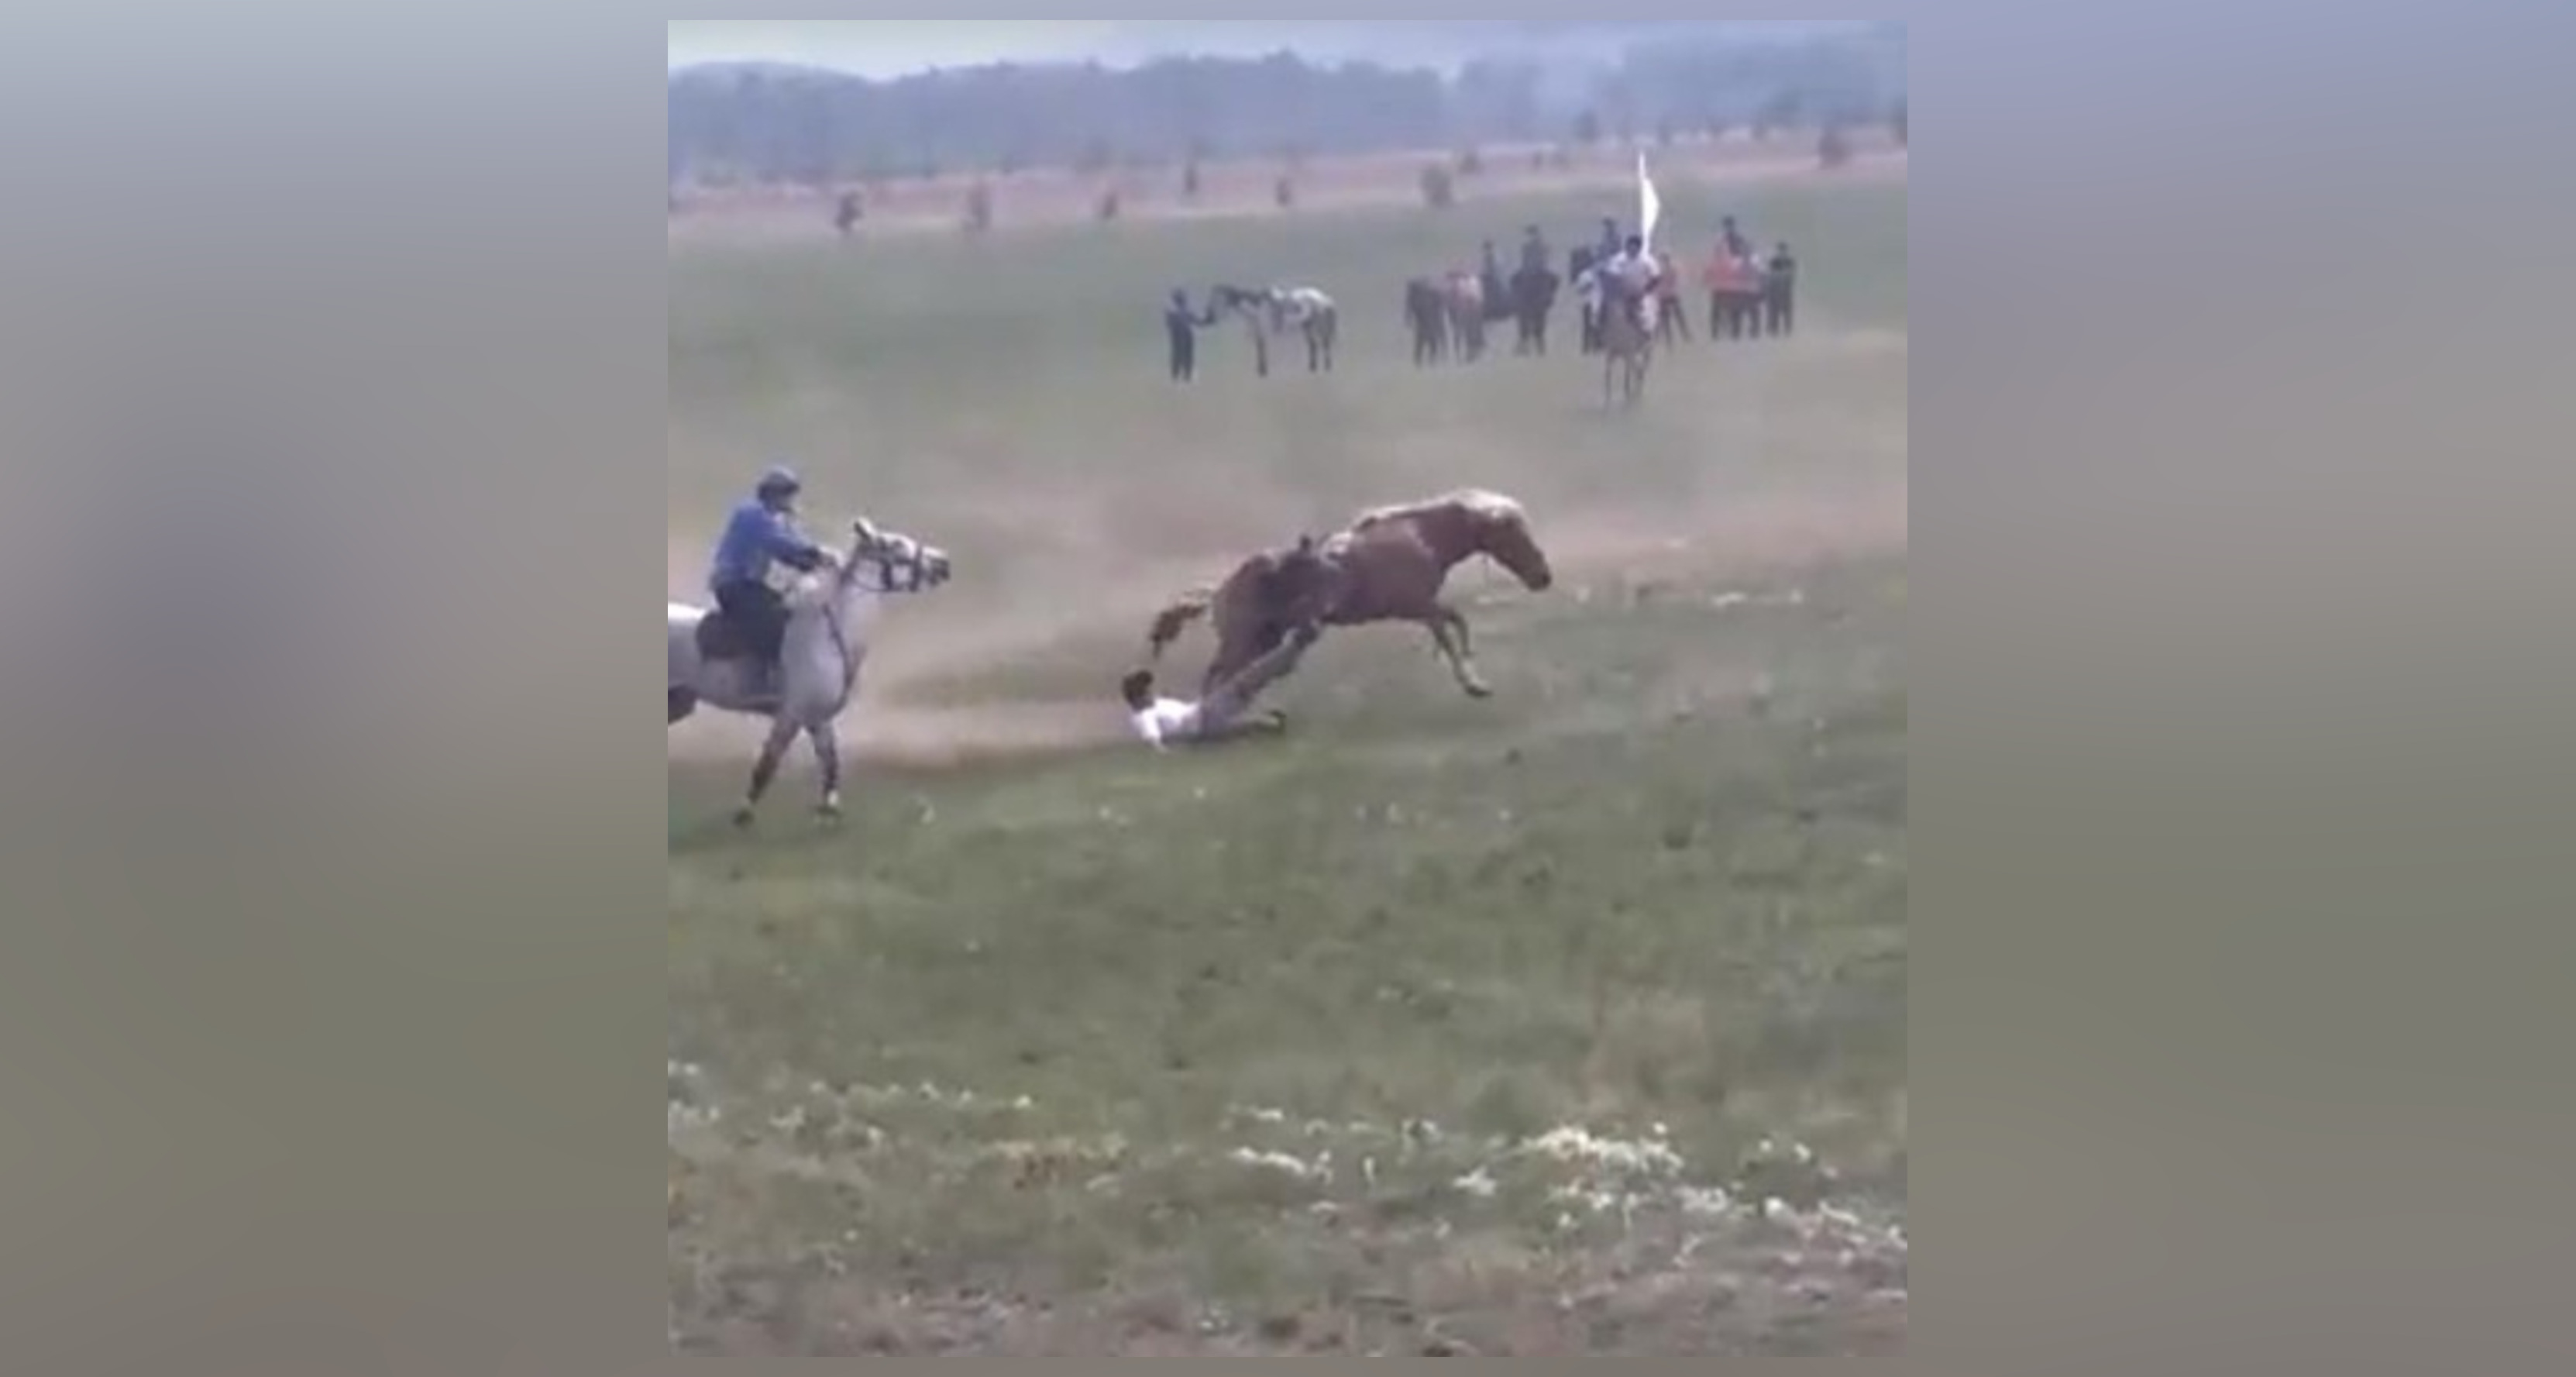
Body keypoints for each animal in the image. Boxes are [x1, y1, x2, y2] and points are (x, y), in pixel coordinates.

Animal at [1154, 487, 1556, 701]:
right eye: (1514, 533)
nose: (1544, 577)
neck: (1420, 536)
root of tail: (1218, 592)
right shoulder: (1419, 606)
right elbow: (1452, 627)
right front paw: (1473, 683)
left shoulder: (1422, 608)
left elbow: (1457, 624)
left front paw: (1473, 678)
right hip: (1242, 641)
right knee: (1216, 680)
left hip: (1263, 640)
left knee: (1224, 679)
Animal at [1200, 286, 1340, 381]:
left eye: (1216, 301)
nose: (1208, 319)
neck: (1255, 307)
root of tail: (1326, 300)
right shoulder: (1259, 334)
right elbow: (1260, 350)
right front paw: (1261, 372)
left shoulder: (1262, 332)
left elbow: (1262, 350)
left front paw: (1263, 372)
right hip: (1308, 328)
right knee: (1314, 345)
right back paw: (1313, 368)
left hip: (1319, 327)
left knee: (1324, 344)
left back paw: (1325, 368)